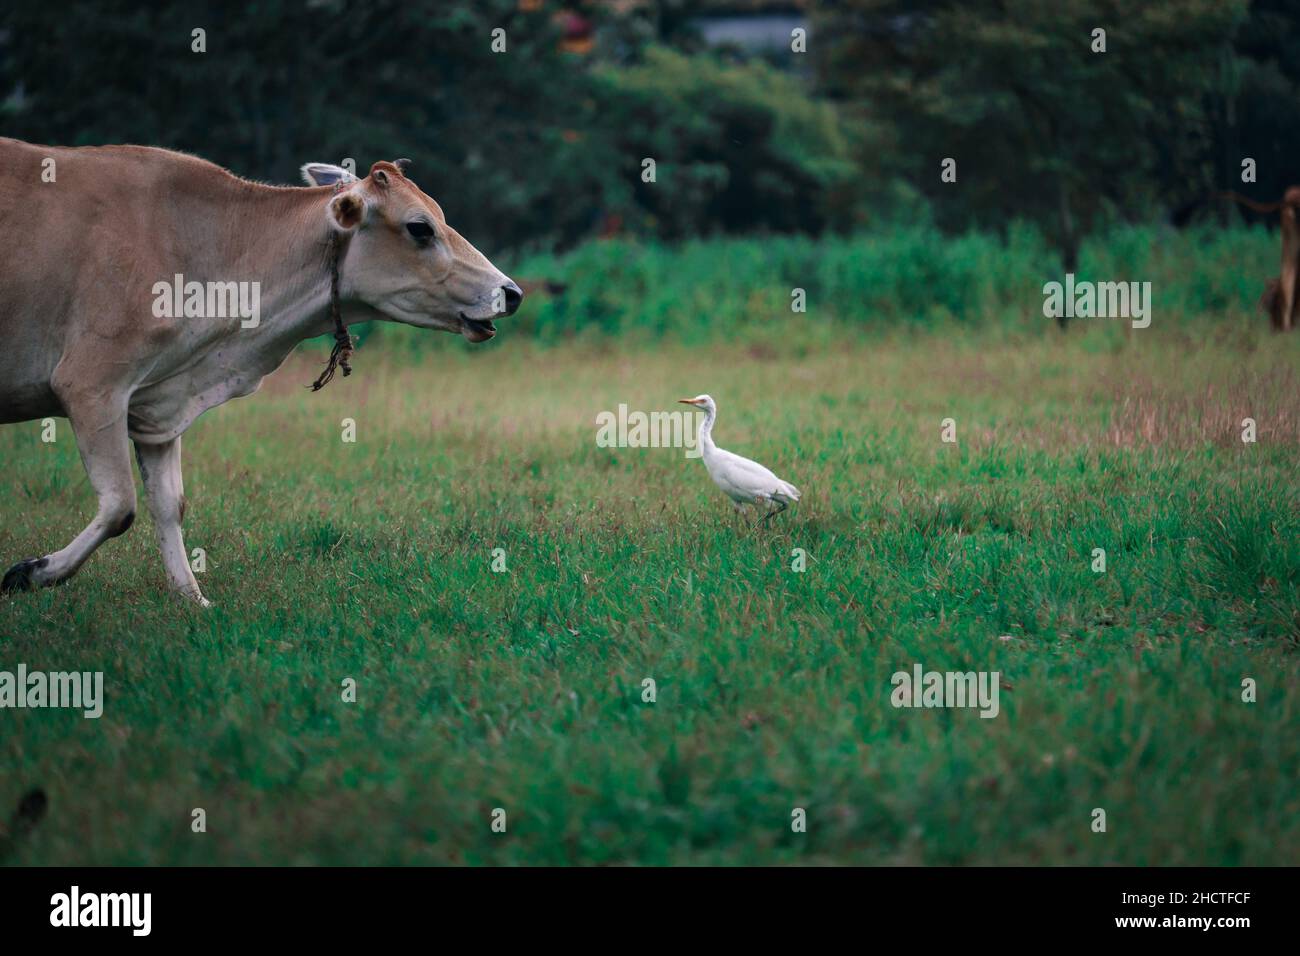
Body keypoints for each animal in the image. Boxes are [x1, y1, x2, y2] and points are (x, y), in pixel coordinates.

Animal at [0, 138, 522, 605]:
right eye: (420, 228)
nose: (511, 292)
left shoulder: (156, 406)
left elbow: (168, 505)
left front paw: (191, 599)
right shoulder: (92, 384)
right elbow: (119, 505)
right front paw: (32, 573)